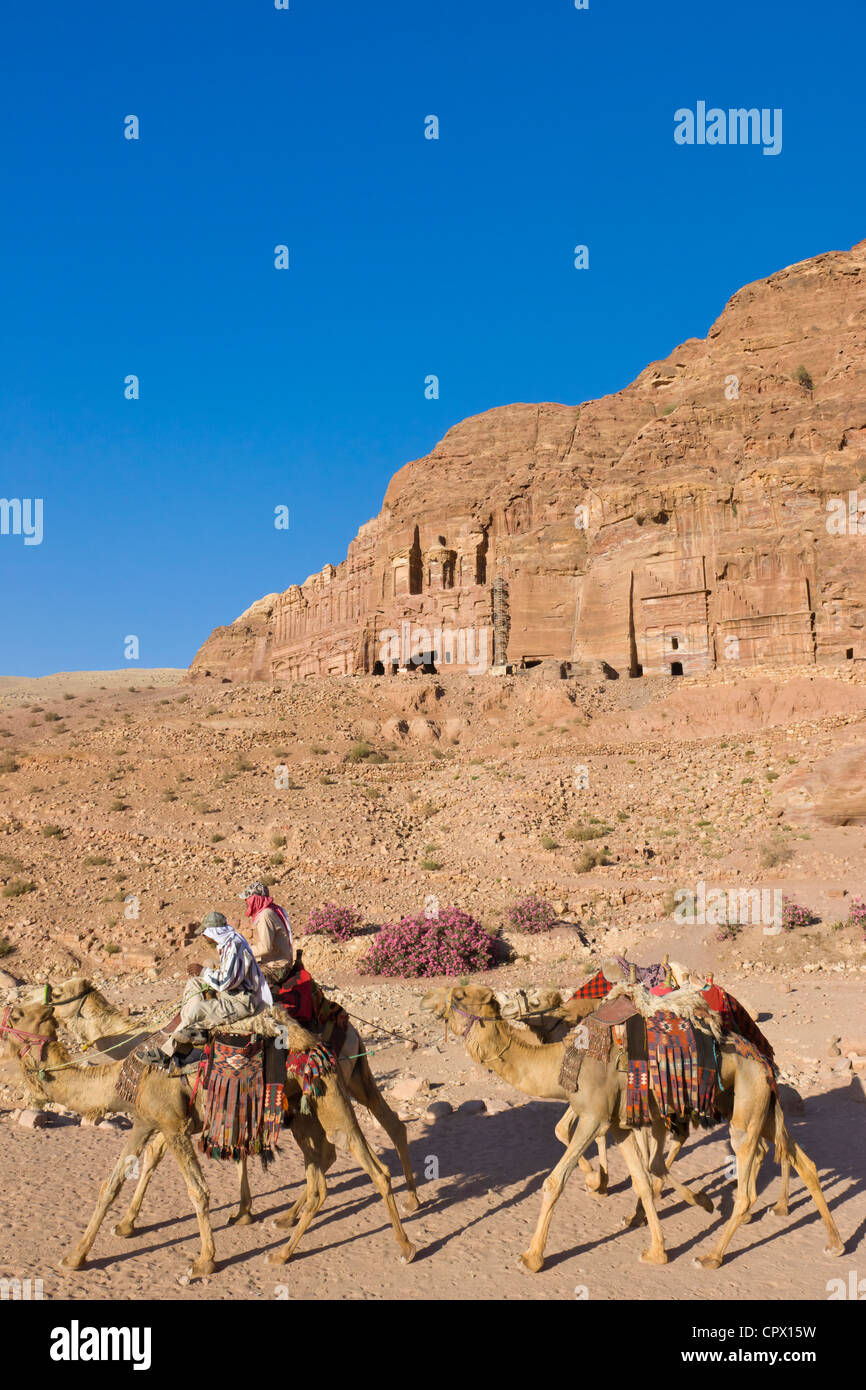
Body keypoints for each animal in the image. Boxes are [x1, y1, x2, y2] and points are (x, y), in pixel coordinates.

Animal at [0, 1000, 419, 1278]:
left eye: (16, 1016)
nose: (4, 1020)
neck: (122, 1076)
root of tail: (315, 1041)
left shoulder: (172, 1124)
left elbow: (198, 1191)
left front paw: (205, 1260)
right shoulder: (146, 1123)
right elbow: (112, 1183)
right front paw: (78, 1255)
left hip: (330, 1098)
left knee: (371, 1167)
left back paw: (406, 1246)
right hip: (306, 1106)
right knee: (327, 1168)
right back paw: (283, 1247)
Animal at [422, 978, 845, 1273]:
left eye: (460, 996)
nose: (426, 1000)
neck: (563, 1057)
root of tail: (760, 1057)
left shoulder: (593, 1117)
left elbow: (554, 1181)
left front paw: (532, 1256)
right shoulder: (617, 1124)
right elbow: (641, 1178)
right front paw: (657, 1249)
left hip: (746, 1107)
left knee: (746, 1187)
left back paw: (711, 1255)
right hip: (755, 1105)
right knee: (800, 1160)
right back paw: (834, 1242)